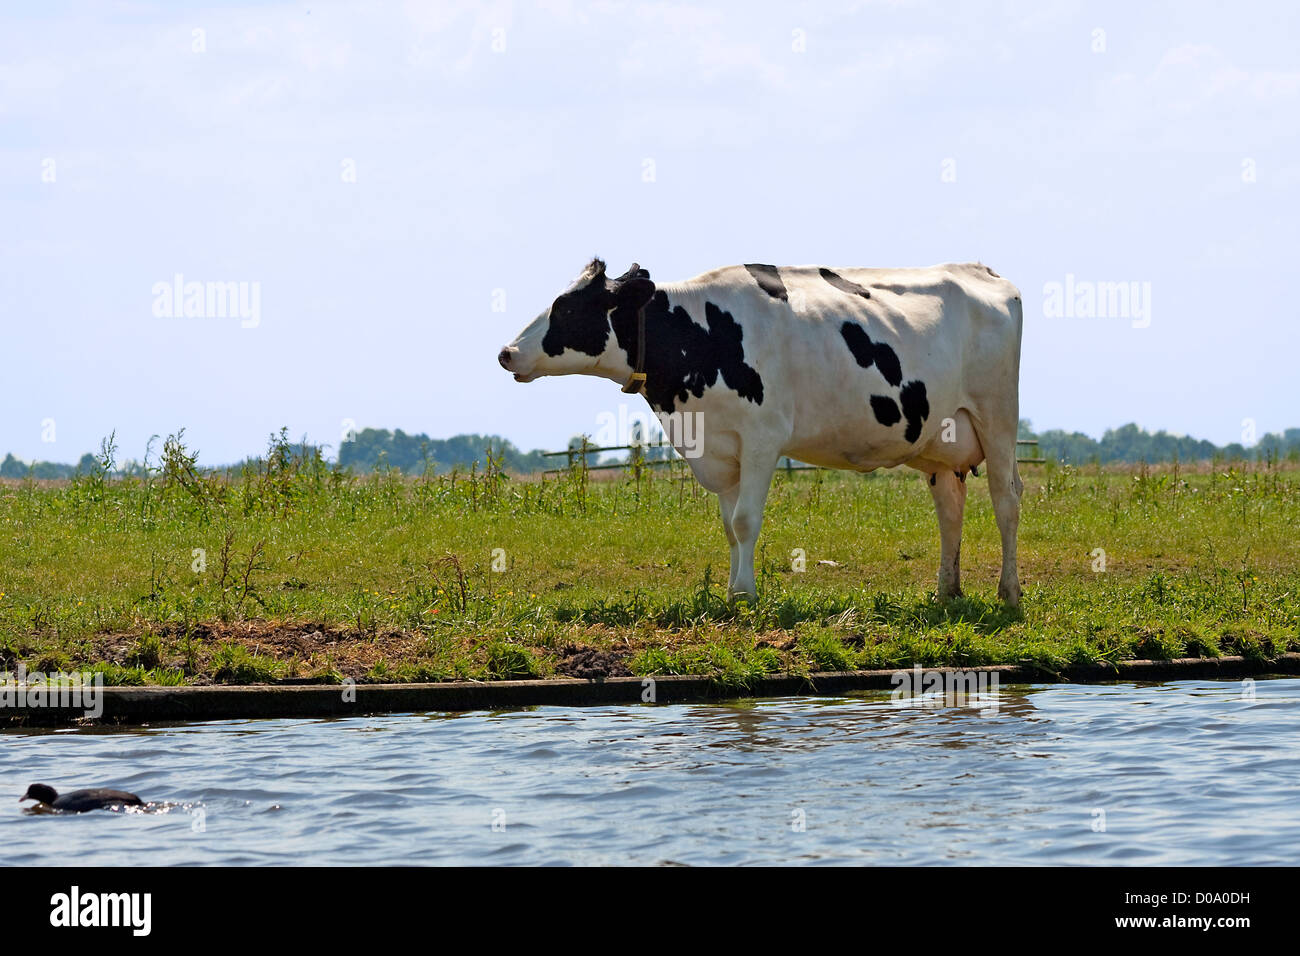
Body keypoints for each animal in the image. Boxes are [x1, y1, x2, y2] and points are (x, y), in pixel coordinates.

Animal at [498, 258, 1024, 606]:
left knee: (1006, 500)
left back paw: (1009, 593)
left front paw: (745, 596)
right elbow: (729, 529)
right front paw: (733, 589)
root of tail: (981, 269)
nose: (506, 352)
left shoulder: (762, 439)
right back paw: (946, 593)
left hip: (997, 416)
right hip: (942, 440)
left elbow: (747, 521)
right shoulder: (720, 448)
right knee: (950, 510)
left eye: (567, 309)